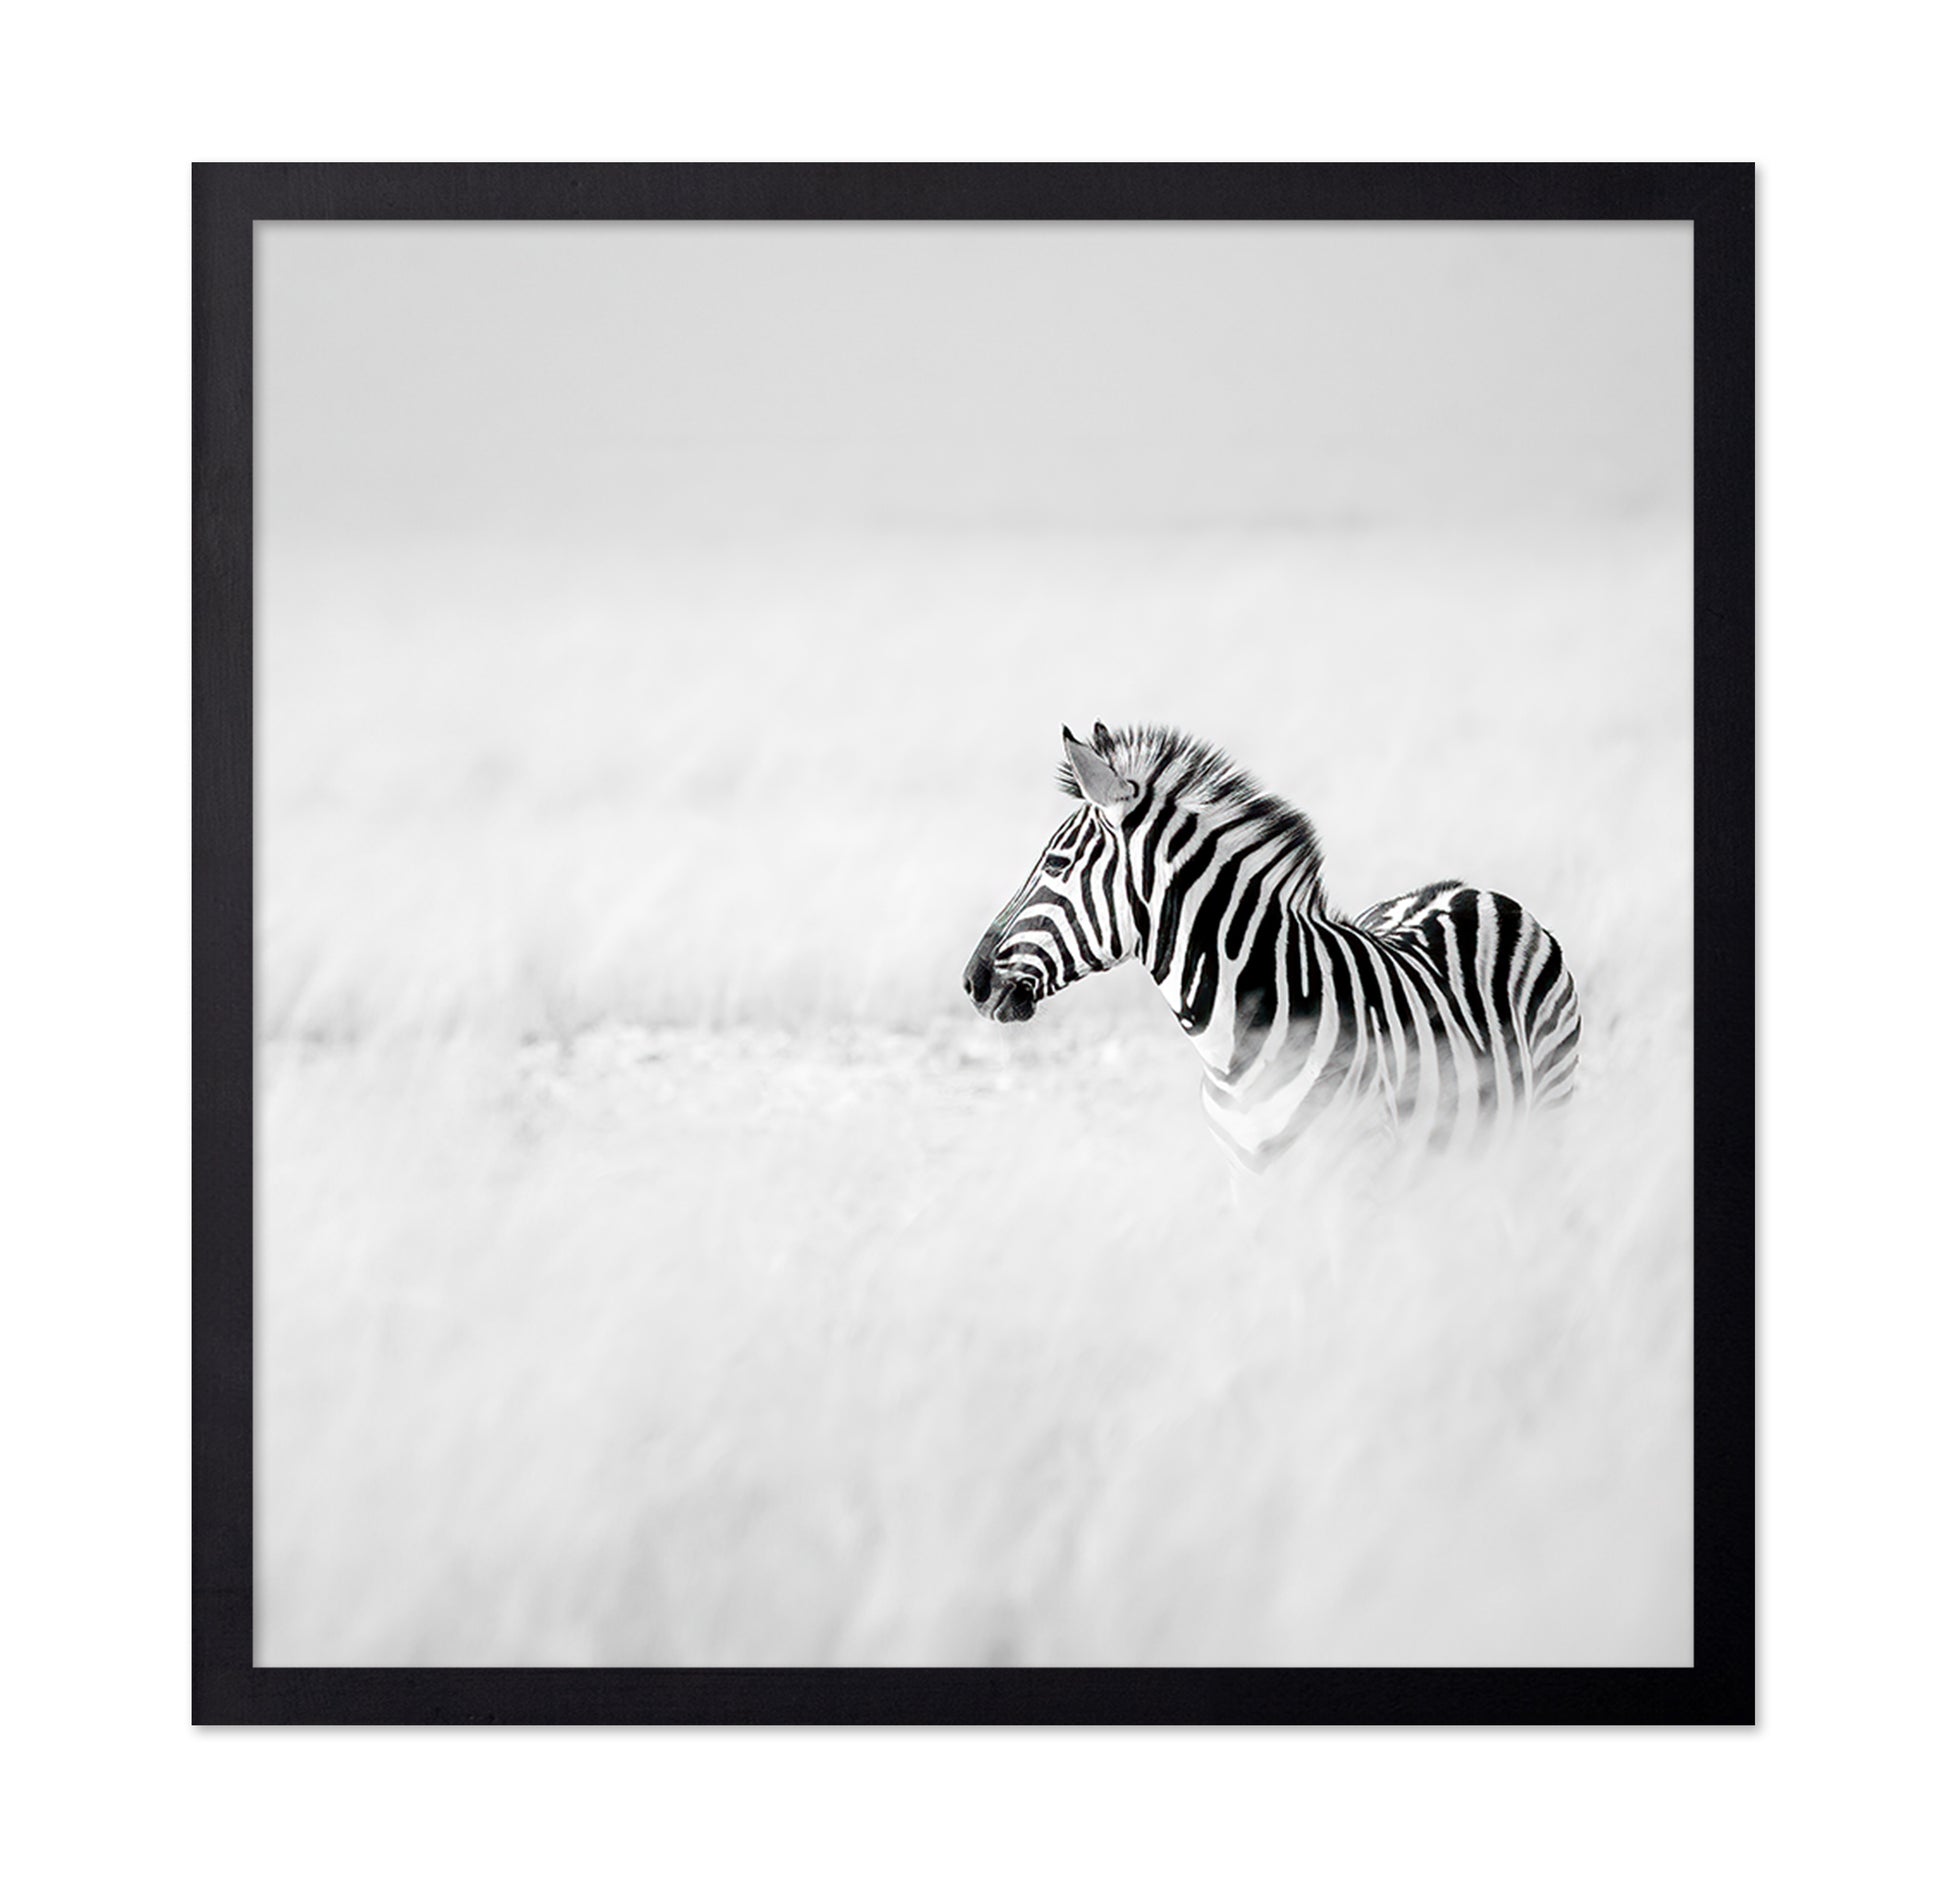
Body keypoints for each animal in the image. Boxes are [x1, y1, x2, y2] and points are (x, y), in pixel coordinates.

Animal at [961, 723, 1581, 1170]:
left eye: (1056, 864)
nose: (973, 982)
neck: (1233, 1047)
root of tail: (1466, 888)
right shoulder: (1252, 1184)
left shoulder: (1361, 1170)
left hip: (1548, 1115)